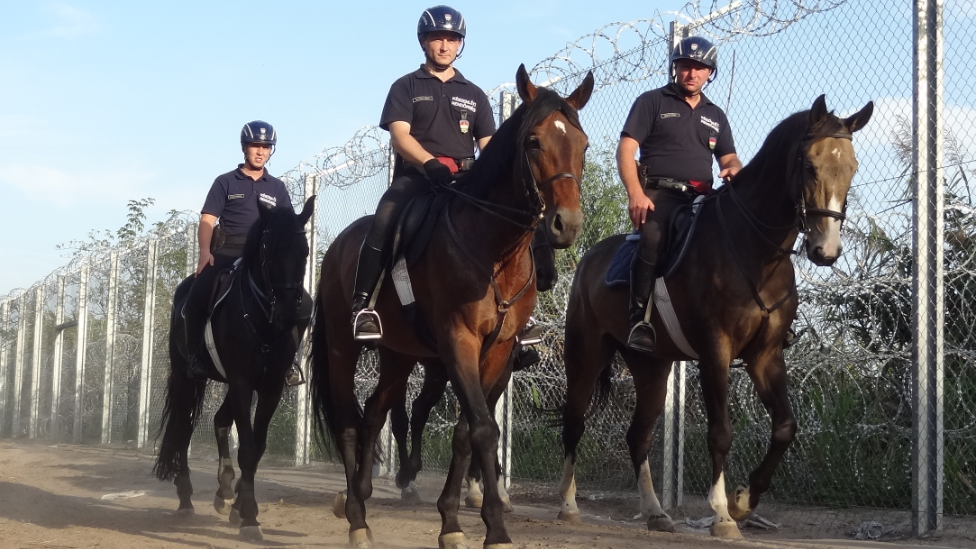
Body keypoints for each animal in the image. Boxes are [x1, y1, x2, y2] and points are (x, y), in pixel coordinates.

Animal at [152, 196, 314, 540]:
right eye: (268, 249)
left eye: (304, 250)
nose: (287, 314)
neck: (264, 321)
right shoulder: (242, 382)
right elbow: (249, 447)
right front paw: (250, 516)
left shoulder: (269, 386)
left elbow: (258, 446)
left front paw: (240, 503)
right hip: (189, 378)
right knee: (184, 427)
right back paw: (186, 499)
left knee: (219, 420)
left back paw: (225, 489)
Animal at [310, 65, 596, 548]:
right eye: (533, 141)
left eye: (583, 144)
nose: (566, 224)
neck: (493, 250)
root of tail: (337, 247)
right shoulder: (457, 341)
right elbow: (481, 427)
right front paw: (493, 527)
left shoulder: (497, 350)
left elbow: (467, 430)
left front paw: (453, 519)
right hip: (341, 348)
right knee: (349, 420)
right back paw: (357, 518)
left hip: (399, 356)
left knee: (374, 412)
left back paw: (363, 493)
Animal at [560, 94, 872, 536]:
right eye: (810, 165)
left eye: (851, 167)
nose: (825, 250)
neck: (755, 250)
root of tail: (589, 258)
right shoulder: (715, 351)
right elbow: (721, 432)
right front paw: (723, 514)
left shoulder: (765, 356)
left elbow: (785, 426)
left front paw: (745, 500)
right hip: (585, 356)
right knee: (574, 423)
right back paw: (568, 505)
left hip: (651, 368)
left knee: (638, 435)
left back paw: (655, 512)